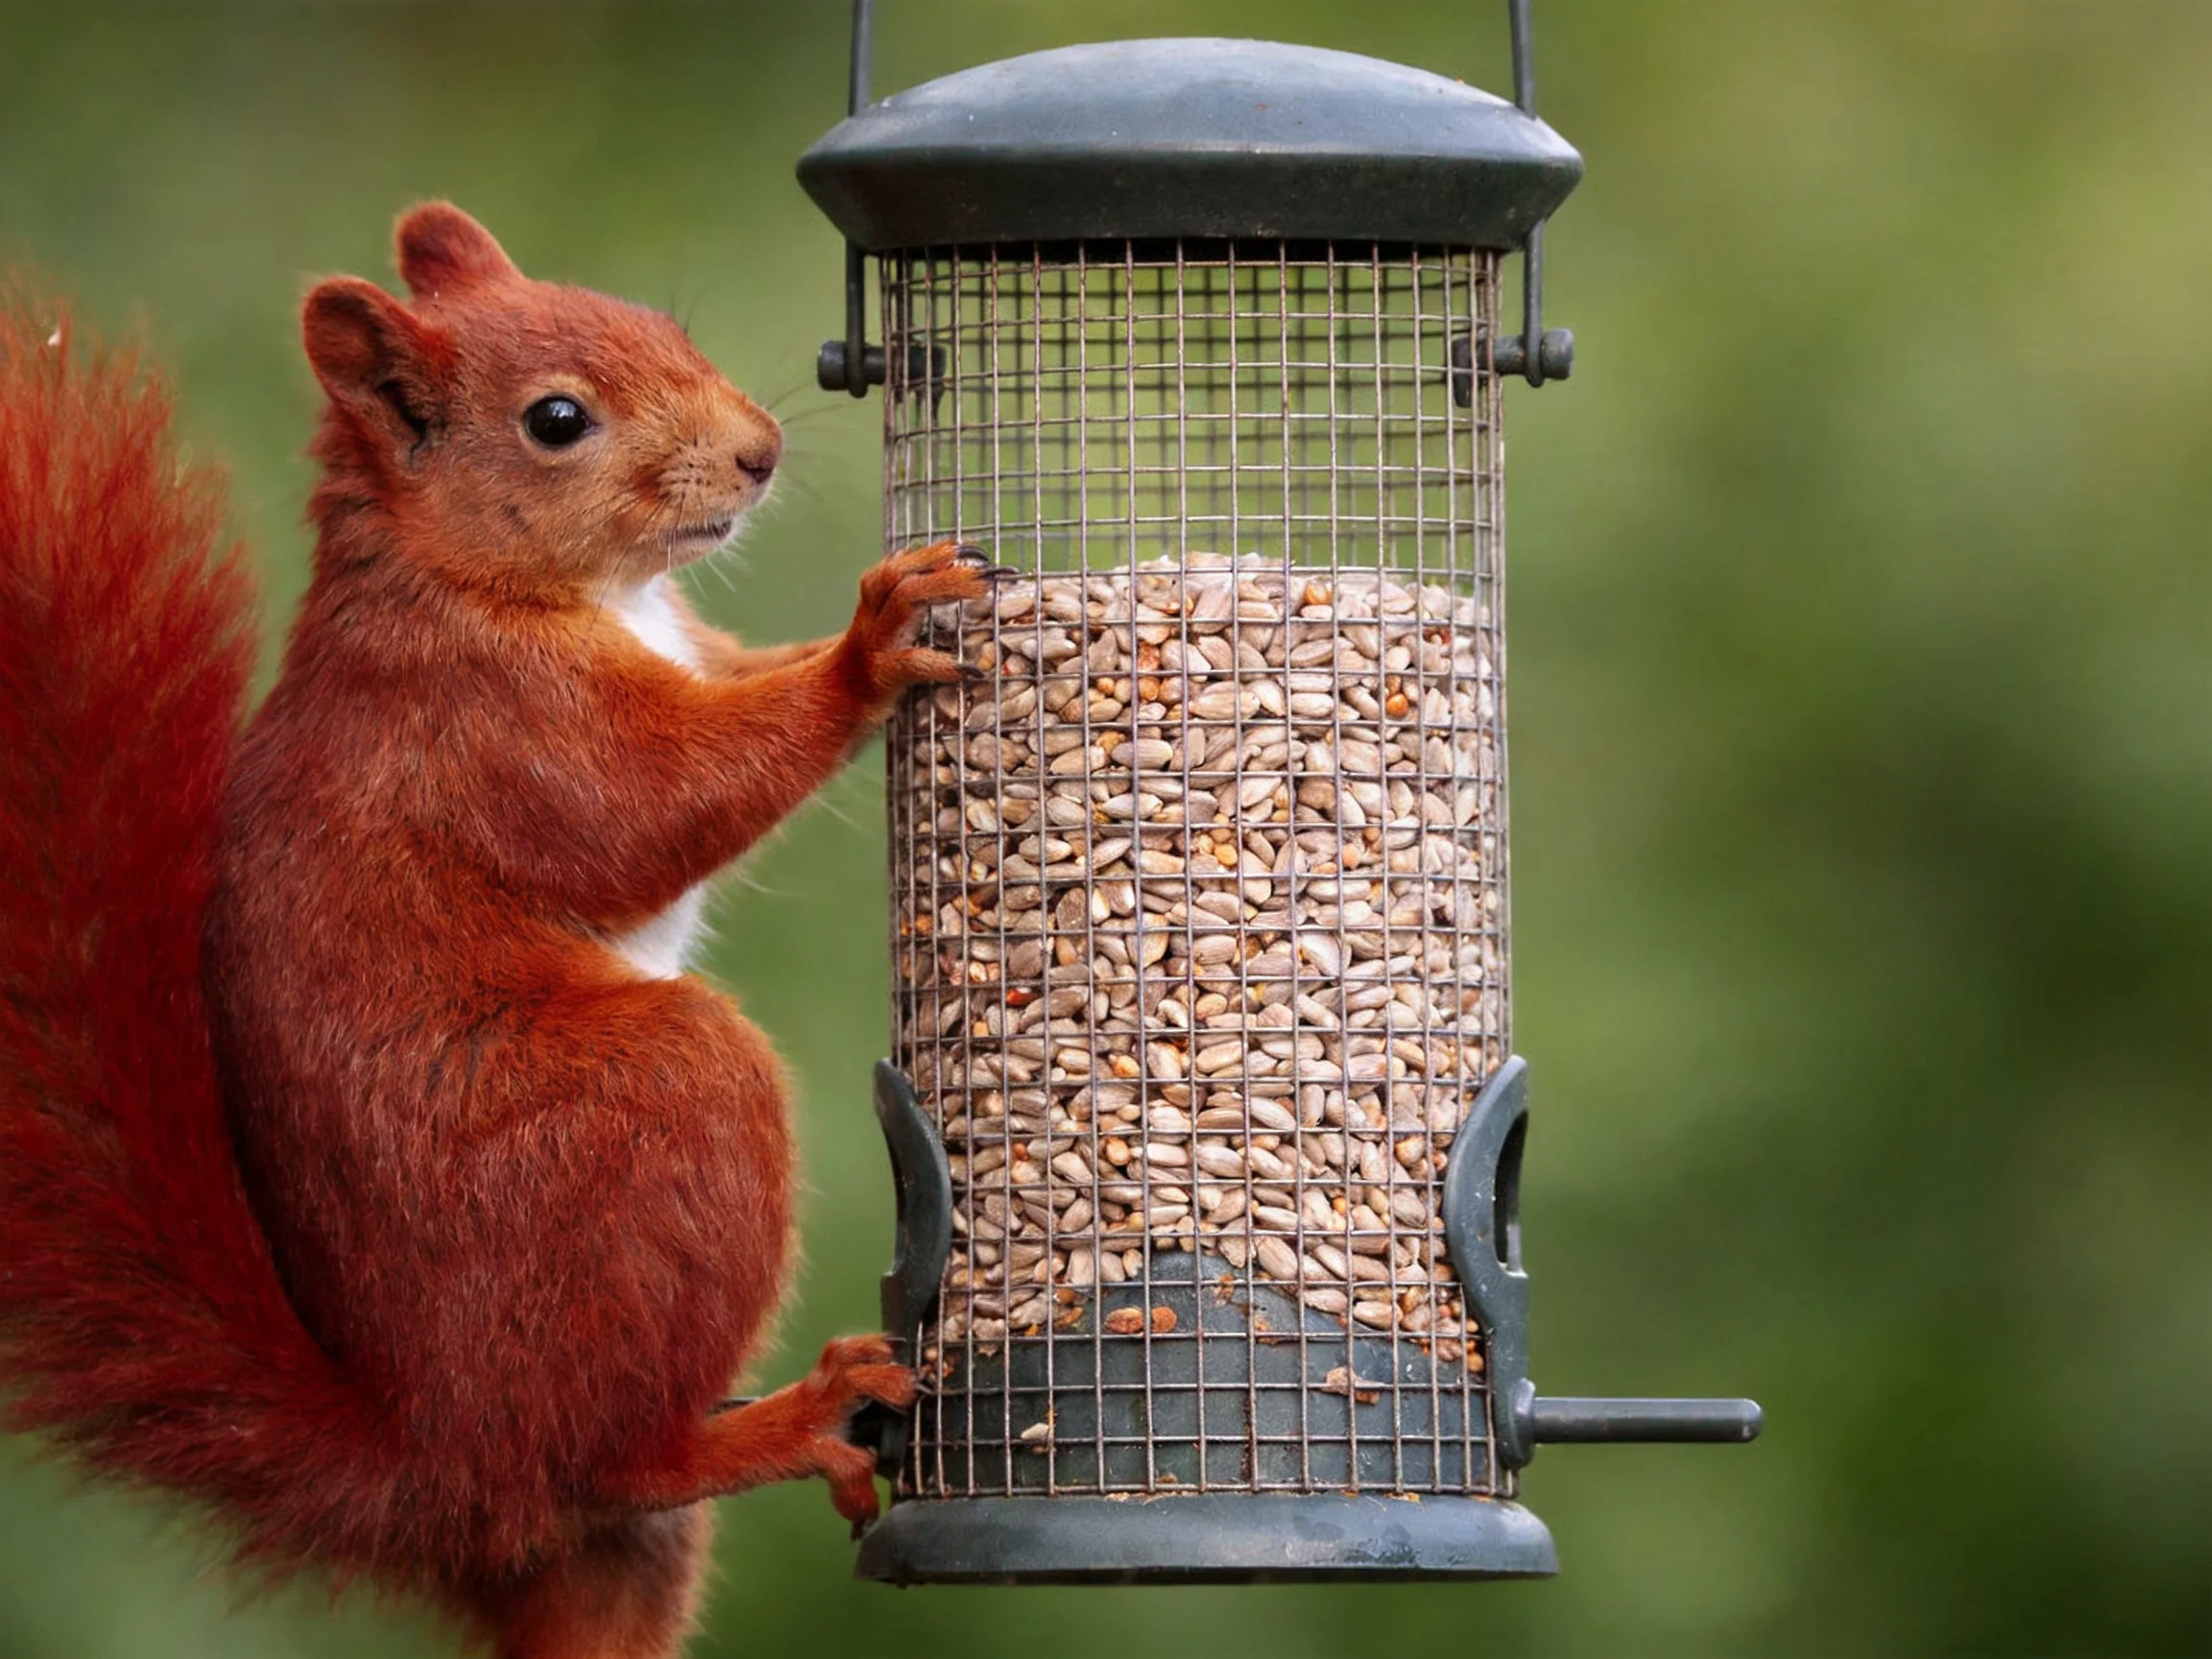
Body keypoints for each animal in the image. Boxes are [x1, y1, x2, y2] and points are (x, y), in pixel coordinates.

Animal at [0, 203, 992, 1658]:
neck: (489, 578)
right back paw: (794, 1414)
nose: (759, 451)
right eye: (557, 420)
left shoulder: (692, 651)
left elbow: (743, 686)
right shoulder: (493, 732)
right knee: (608, 1457)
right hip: (647, 1117)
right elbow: (661, 802)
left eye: (663, 323)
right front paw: (873, 645)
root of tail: (437, 1468)